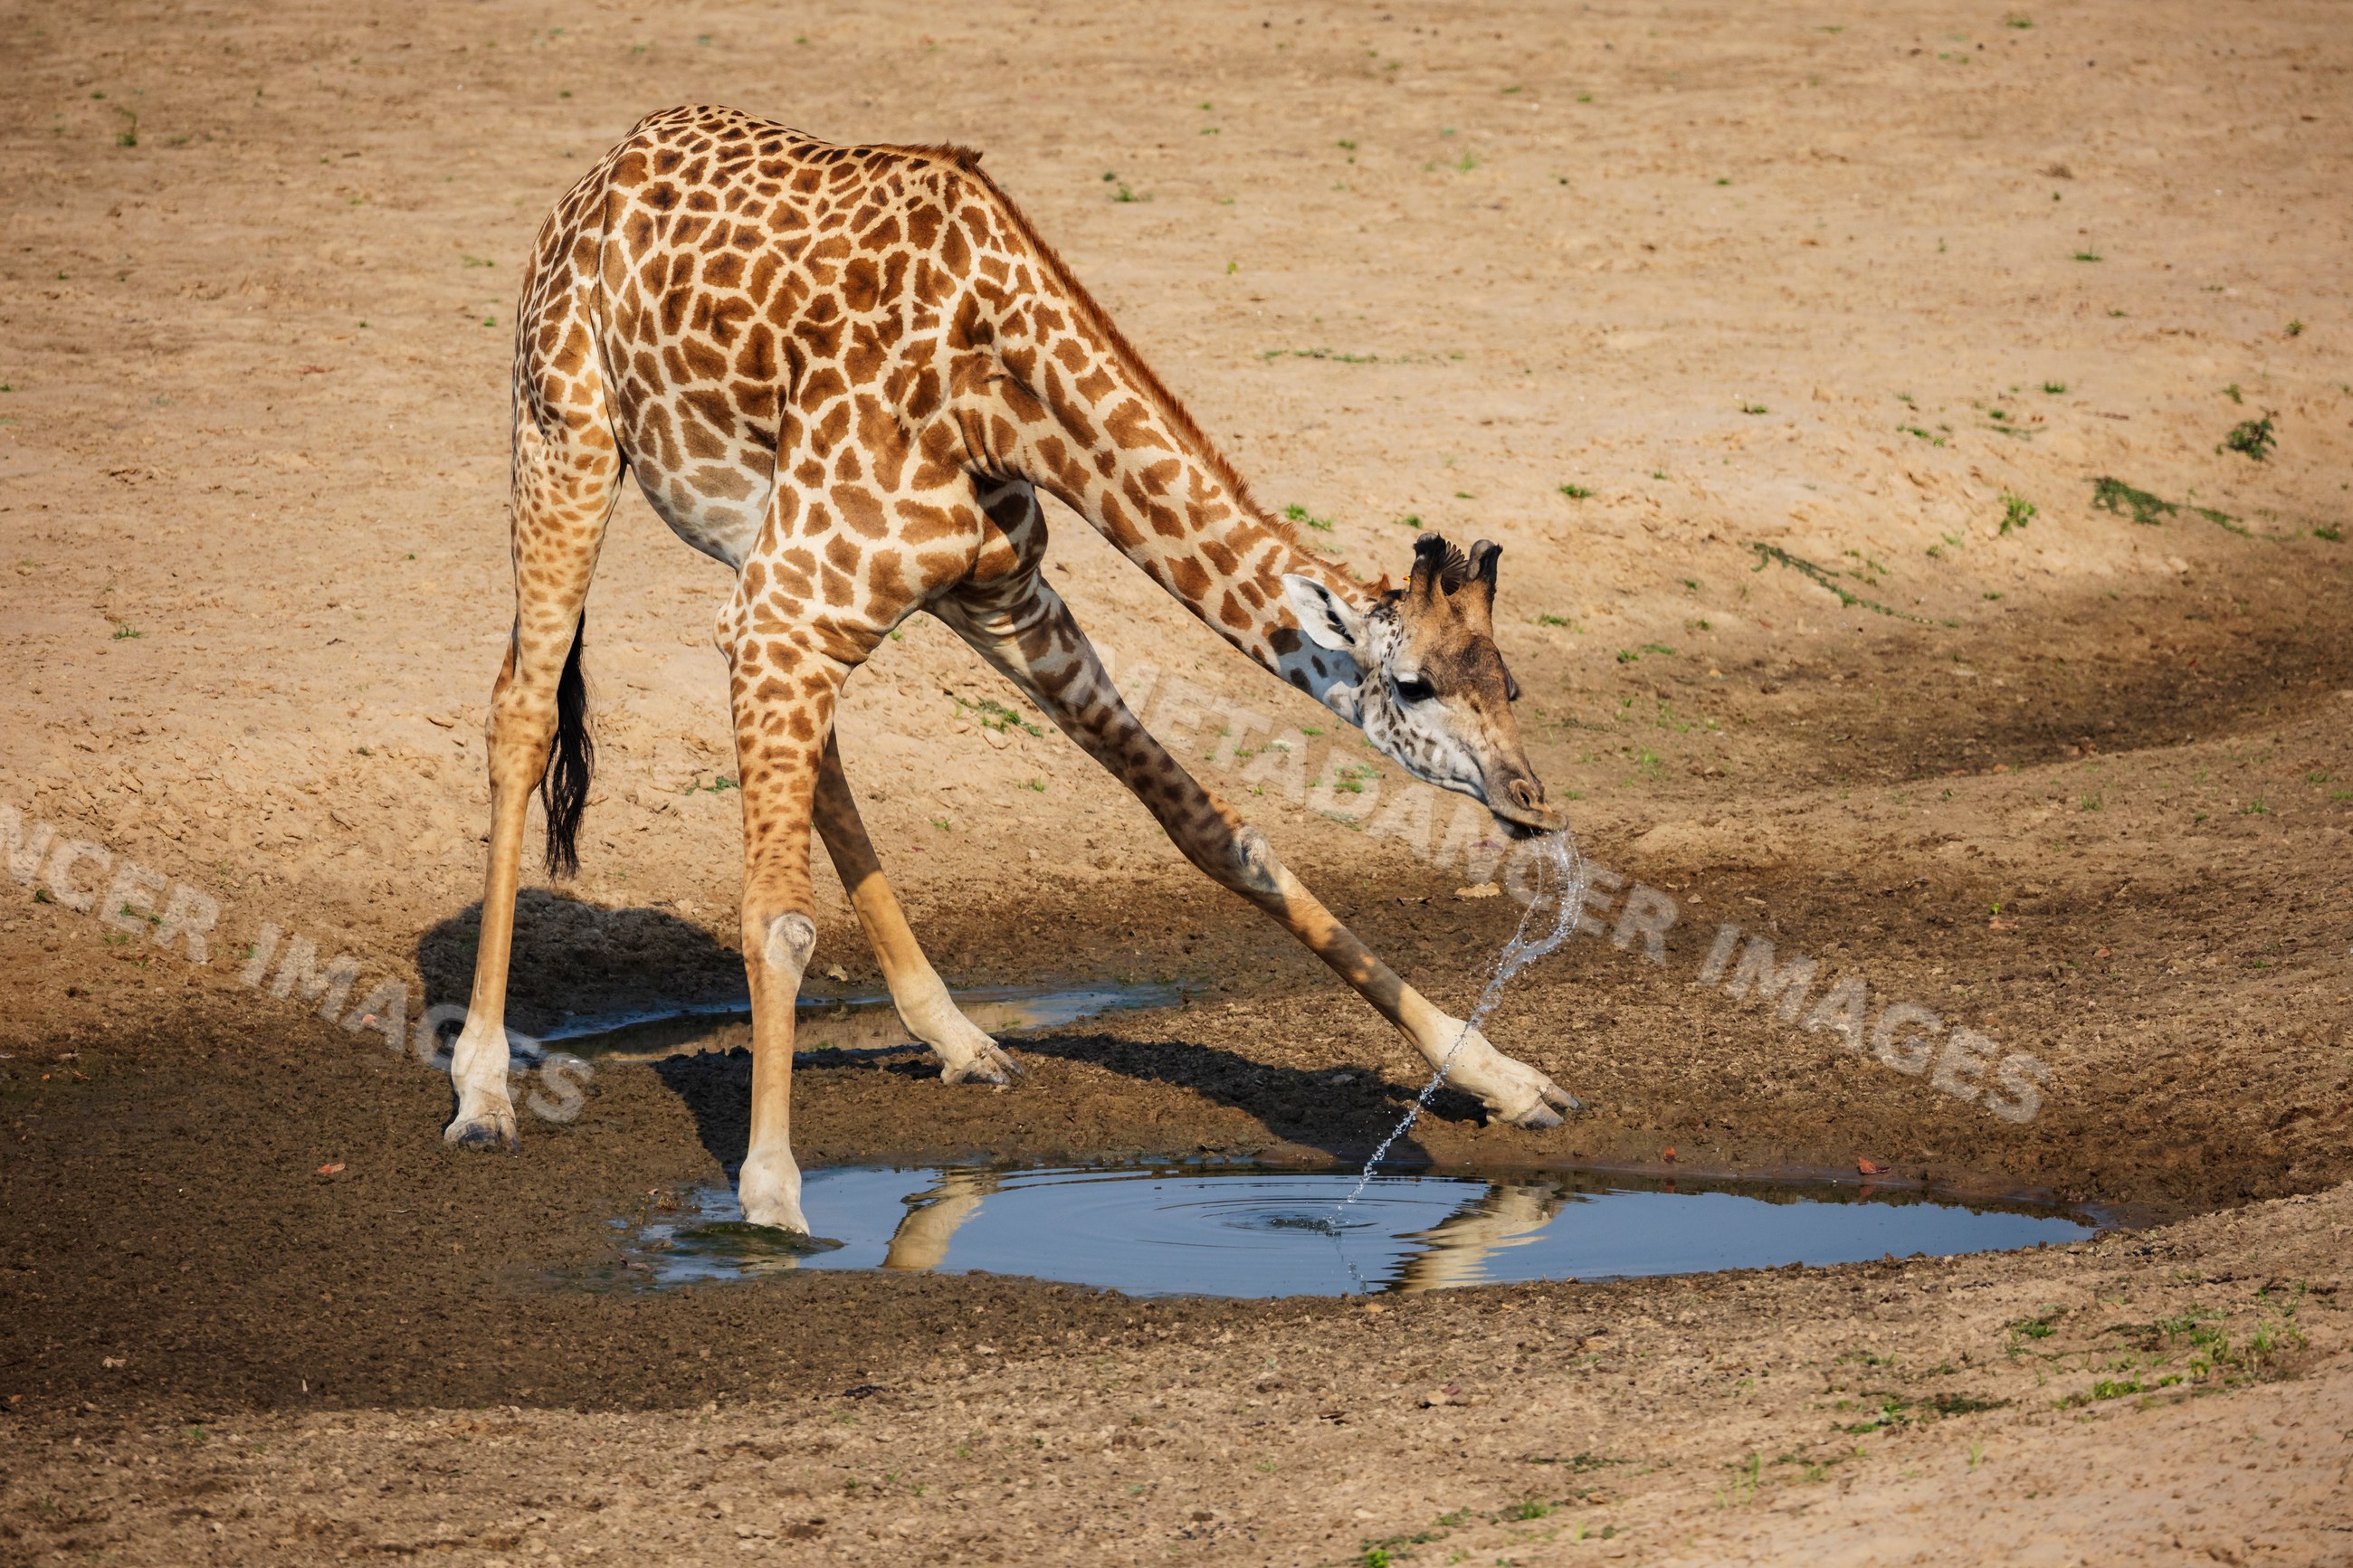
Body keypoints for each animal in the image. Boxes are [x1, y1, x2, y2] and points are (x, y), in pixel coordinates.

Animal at [445, 106, 1578, 1233]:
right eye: (1415, 685)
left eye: (1509, 684)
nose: (1531, 802)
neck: (997, 399)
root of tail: (607, 164)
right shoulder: (792, 609)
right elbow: (779, 917)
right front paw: (769, 1197)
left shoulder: (1002, 599)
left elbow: (1219, 833)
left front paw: (1506, 1079)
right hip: (565, 437)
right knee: (522, 711)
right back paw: (482, 1091)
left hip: (760, 562)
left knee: (815, 758)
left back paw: (961, 1039)